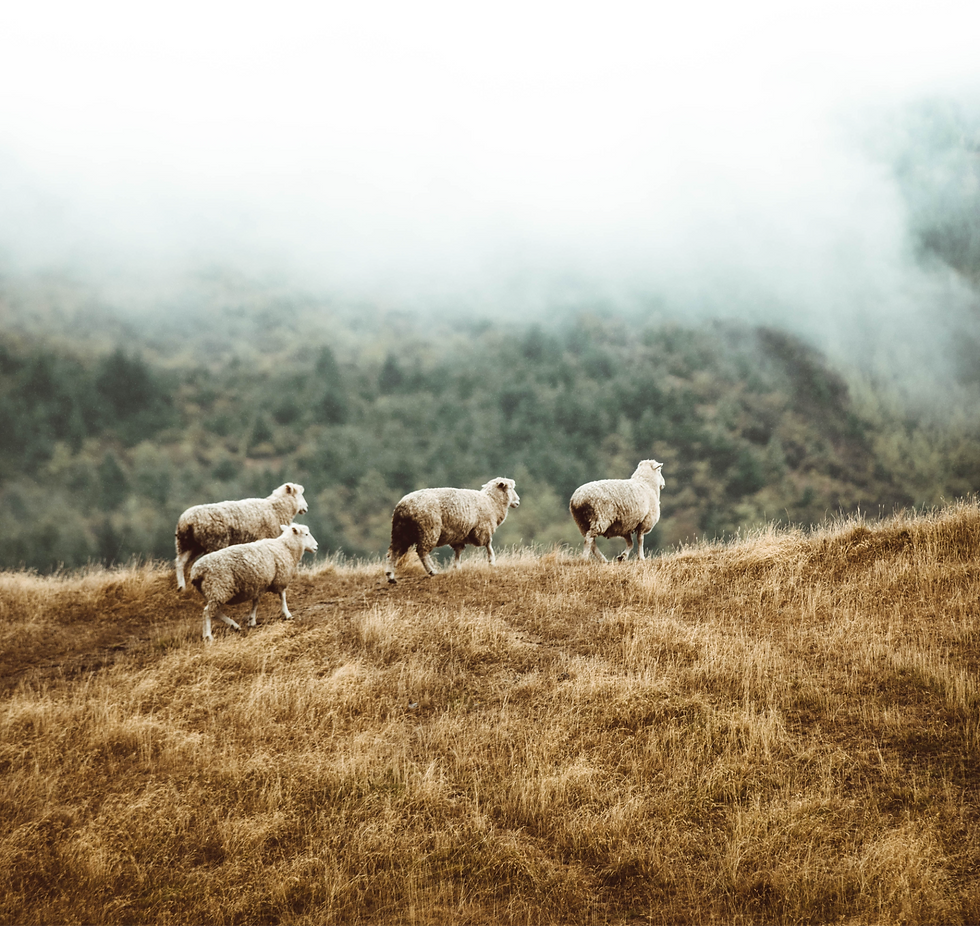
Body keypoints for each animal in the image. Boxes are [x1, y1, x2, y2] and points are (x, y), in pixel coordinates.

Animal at [174, 483, 309, 591]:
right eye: (299, 495)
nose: (306, 508)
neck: (275, 509)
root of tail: (187, 520)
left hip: (187, 543)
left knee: (181, 562)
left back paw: (182, 587)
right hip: (214, 542)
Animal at [189, 523, 319, 643]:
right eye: (306, 534)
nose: (316, 546)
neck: (286, 547)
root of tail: (197, 571)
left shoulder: (260, 584)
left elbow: (256, 602)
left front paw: (252, 620)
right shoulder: (280, 578)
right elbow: (282, 596)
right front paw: (287, 614)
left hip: (212, 591)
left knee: (215, 612)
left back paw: (235, 626)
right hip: (218, 588)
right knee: (207, 612)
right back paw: (208, 636)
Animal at [384, 477, 520, 583]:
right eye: (510, 488)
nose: (518, 501)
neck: (491, 502)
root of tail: (403, 506)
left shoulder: (460, 536)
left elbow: (458, 551)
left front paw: (456, 567)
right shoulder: (483, 529)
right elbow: (488, 544)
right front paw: (492, 561)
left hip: (400, 532)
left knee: (393, 551)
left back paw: (390, 576)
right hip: (428, 530)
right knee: (422, 551)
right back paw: (432, 571)